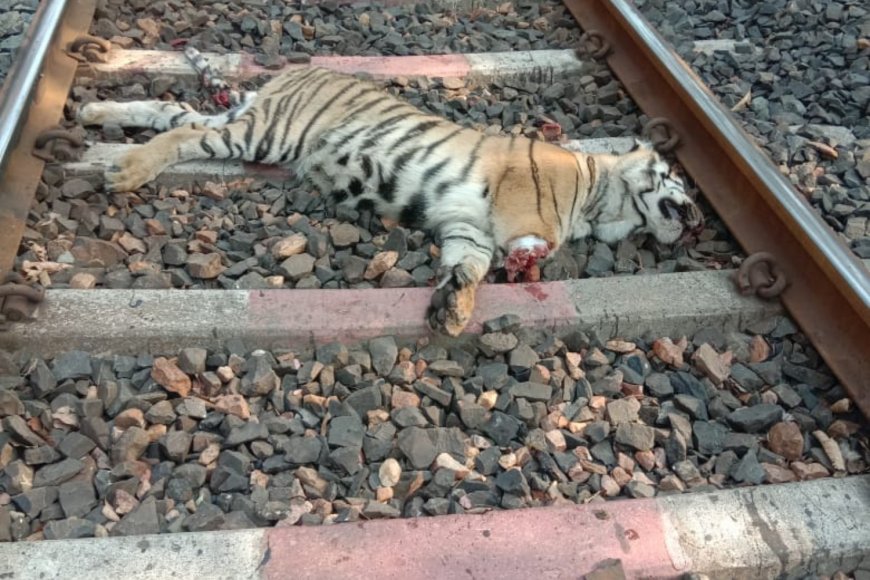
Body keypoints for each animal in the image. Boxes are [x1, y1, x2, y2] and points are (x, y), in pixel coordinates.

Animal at [77, 49, 705, 337]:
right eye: (678, 180)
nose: (699, 222)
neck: (601, 196)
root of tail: (295, 73)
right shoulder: (509, 200)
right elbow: (530, 236)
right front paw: (529, 256)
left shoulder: (466, 228)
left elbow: (468, 266)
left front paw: (454, 309)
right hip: (271, 134)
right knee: (183, 133)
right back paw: (125, 171)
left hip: (249, 125)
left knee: (168, 112)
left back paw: (95, 115)